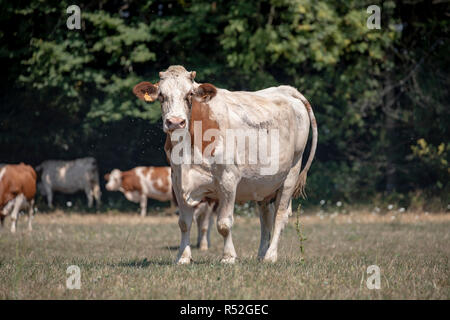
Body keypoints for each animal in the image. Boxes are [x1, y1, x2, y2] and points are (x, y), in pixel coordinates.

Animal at [132, 64, 318, 262]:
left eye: (190, 94)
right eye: (161, 95)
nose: (175, 122)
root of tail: (286, 90)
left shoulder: (228, 179)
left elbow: (223, 223)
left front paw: (228, 257)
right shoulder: (177, 180)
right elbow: (184, 223)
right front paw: (183, 257)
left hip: (291, 173)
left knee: (280, 216)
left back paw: (270, 255)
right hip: (263, 184)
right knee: (265, 218)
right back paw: (261, 254)